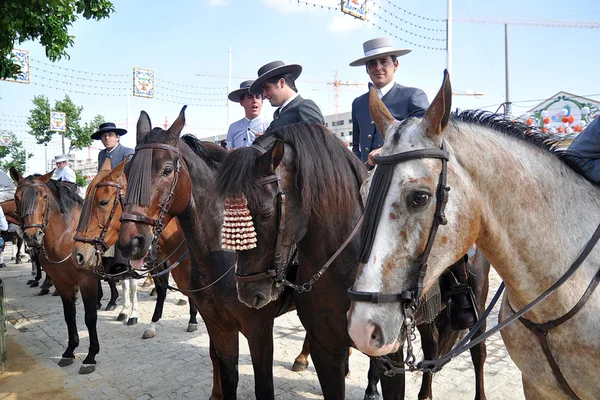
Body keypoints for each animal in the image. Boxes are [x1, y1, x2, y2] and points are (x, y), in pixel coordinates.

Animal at [9, 167, 101, 374]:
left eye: (44, 196)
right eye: (17, 197)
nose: (32, 236)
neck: (67, 236)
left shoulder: (87, 282)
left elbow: (90, 317)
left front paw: (90, 356)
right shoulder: (62, 283)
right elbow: (69, 315)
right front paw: (70, 350)